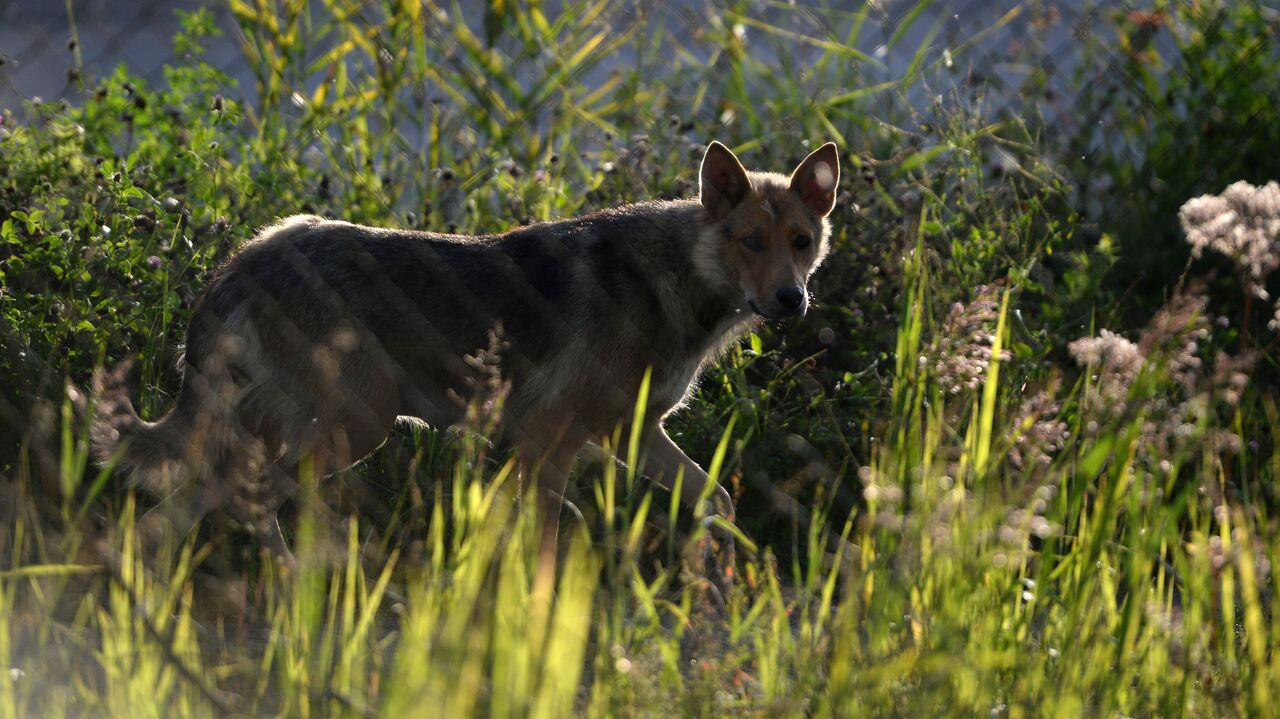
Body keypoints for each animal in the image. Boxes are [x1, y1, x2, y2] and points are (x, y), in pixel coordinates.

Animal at [94, 138, 844, 588]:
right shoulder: (548, 443)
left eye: (801, 241)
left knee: (188, 510)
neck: (677, 286)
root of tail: (247, 256)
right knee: (248, 499)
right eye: (750, 241)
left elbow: (717, 502)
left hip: (309, 432)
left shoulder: (629, 435)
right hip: (355, 426)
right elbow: (547, 546)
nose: (792, 300)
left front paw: (719, 580)